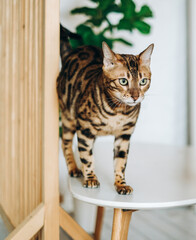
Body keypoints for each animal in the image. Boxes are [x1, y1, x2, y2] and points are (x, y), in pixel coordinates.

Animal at [56, 24, 153, 194]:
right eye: (123, 81)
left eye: (143, 81)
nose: (135, 97)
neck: (118, 112)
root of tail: (70, 53)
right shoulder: (85, 129)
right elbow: (87, 157)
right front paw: (90, 178)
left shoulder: (124, 134)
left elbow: (121, 162)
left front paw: (121, 184)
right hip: (69, 118)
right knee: (66, 143)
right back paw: (74, 168)